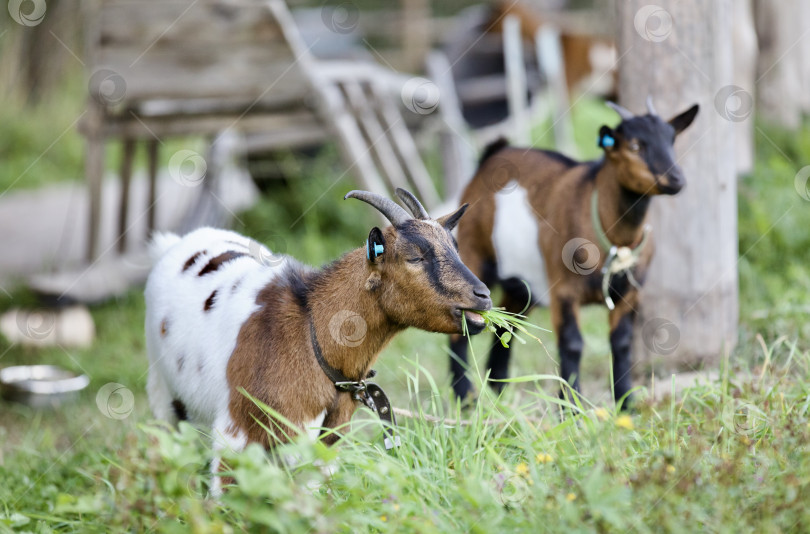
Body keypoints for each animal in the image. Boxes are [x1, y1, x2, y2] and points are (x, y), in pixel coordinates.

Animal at [143, 188, 490, 494]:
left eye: (455, 249)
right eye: (415, 257)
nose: (483, 295)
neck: (310, 334)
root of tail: (174, 243)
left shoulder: (325, 446)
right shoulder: (234, 435)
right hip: (162, 395)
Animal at [448, 100, 696, 408]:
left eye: (671, 140)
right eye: (635, 145)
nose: (676, 179)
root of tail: (492, 157)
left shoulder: (630, 292)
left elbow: (622, 342)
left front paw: (626, 403)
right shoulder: (563, 290)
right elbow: (572, 344)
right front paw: (571, 408)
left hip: (523, 284)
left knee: (508, 324)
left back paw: (501, 393)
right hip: (474, 253)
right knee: (464, 328)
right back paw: (465, 399)